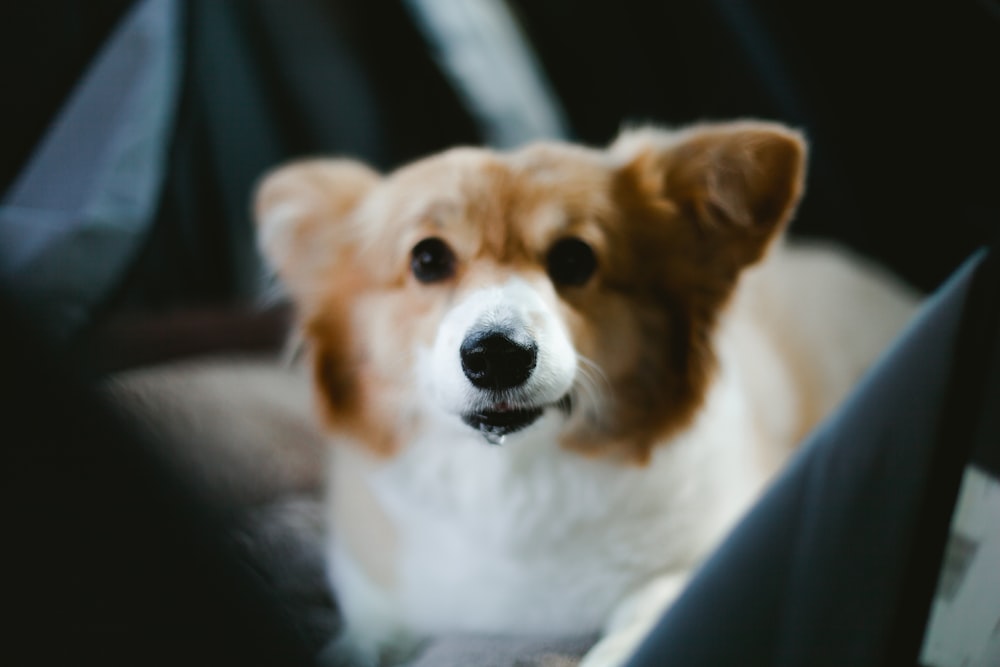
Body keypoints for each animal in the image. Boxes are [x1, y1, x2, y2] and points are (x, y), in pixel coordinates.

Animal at [254, 121, 916, 667]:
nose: (497, 354)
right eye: (428, 259)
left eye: (575, 258)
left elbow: (653, 605)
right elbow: (362, 637)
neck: (514, 483)